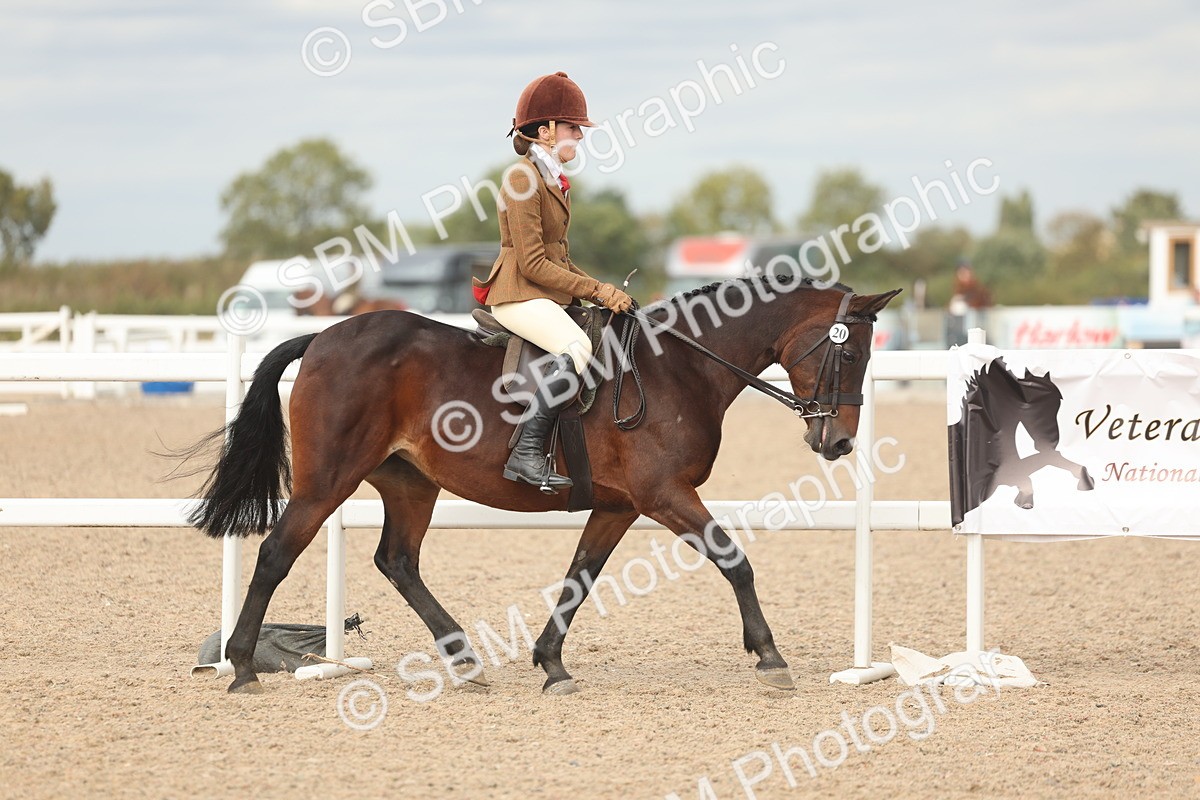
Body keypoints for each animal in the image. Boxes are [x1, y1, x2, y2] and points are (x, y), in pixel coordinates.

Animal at [181, 275, 901, 694]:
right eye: (848, 352)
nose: (838, 443)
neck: (681, 367)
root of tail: (324, 336)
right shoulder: (665, 496)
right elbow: (735, 561)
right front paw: (770, 656)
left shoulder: (618, 507)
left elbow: (580, 576)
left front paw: (551, 662)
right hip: (328, 480)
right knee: (277, 554)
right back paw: (241, 667)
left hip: (410, 483)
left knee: (398, 561)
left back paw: (465, 661)